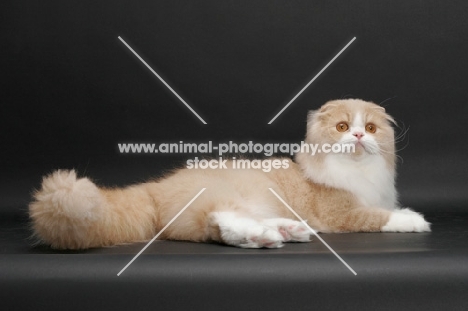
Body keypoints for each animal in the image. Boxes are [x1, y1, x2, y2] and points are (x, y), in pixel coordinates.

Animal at [29, 98, 432, 250]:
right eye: (343, 126)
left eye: (372, 128)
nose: (359, 136)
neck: (359, 174)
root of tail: (155, 187)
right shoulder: (341, 213)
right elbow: (377, 216)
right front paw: (412, 220)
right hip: (225, 196)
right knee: (220, 222)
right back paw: (267, 237)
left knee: (222, 228)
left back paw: (286, 231)